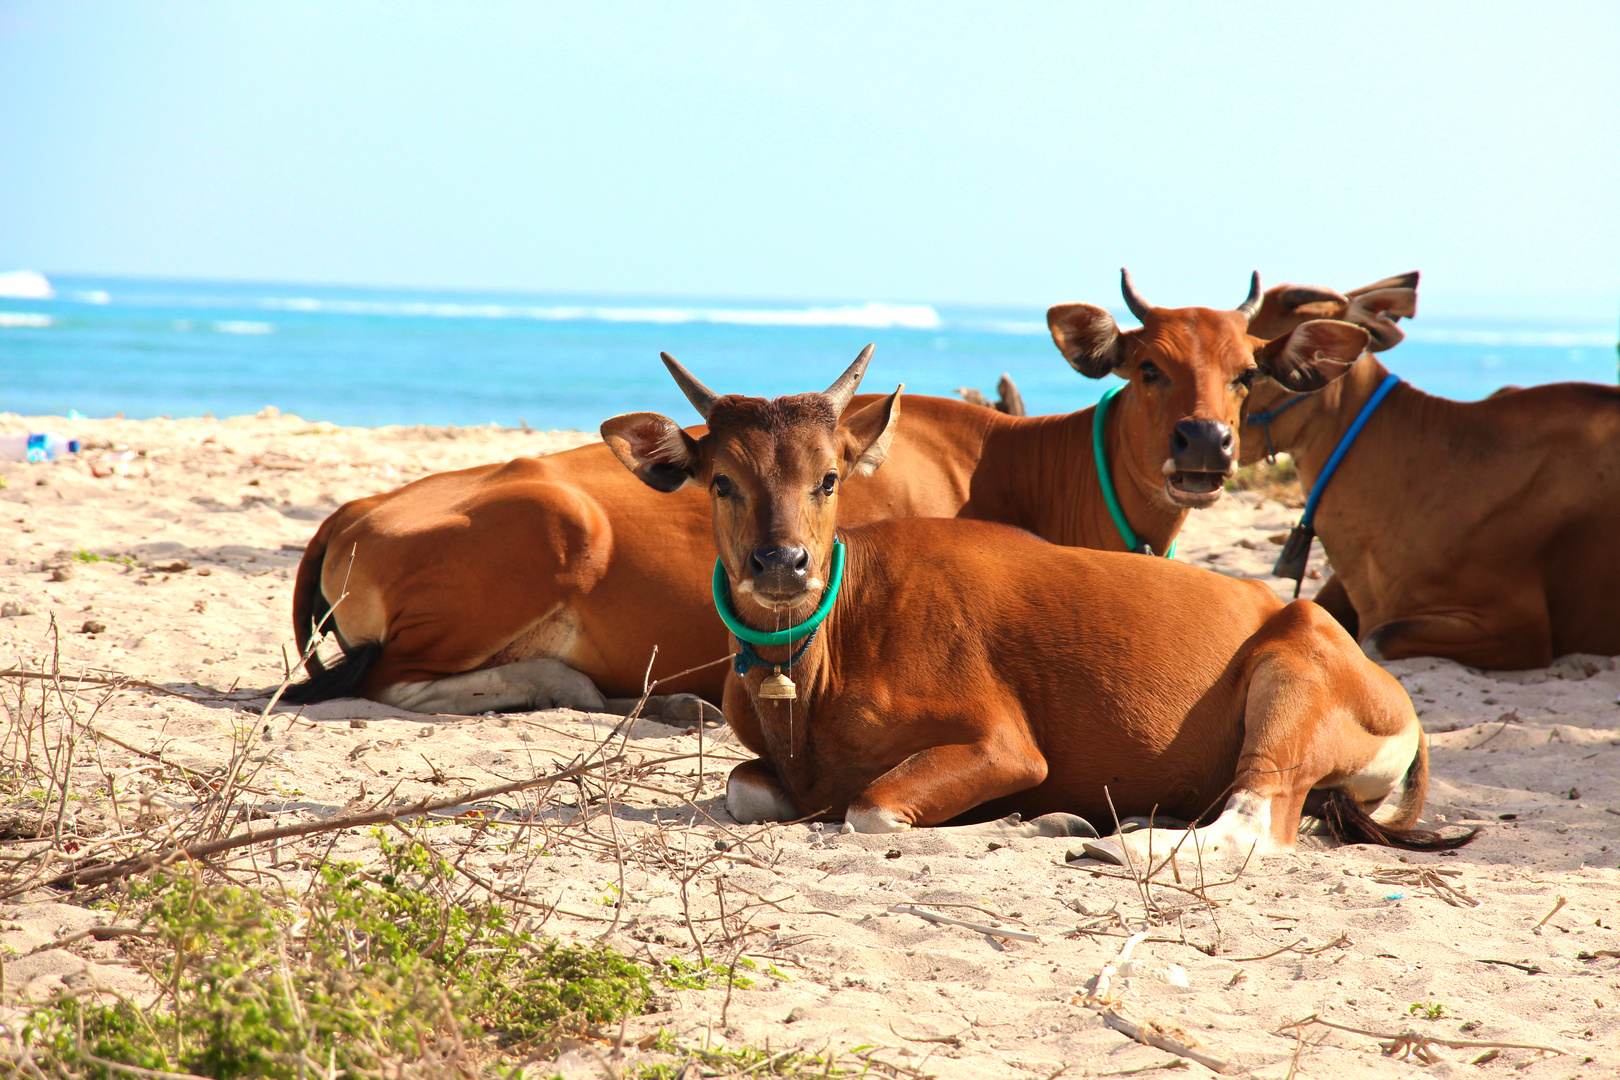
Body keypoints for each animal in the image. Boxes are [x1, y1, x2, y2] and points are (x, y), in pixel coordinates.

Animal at [288, 272, 1393, 718]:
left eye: (1244, 373)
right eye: (1150, 366)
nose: (1204, 447)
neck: (1022, 465)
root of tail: (349, 512)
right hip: (555, 524)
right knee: (385, 685)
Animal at [599, 354, 1483, 861]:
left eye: (829, 477)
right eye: (721, 481)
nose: (783, 564)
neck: (825, 658)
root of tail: (1394, 696)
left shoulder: (1005, 746)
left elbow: (871, 810)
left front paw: (1032, 820)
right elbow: (746, 788)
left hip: (1289, 685)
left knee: (1256, 822)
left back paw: (1116, 841)